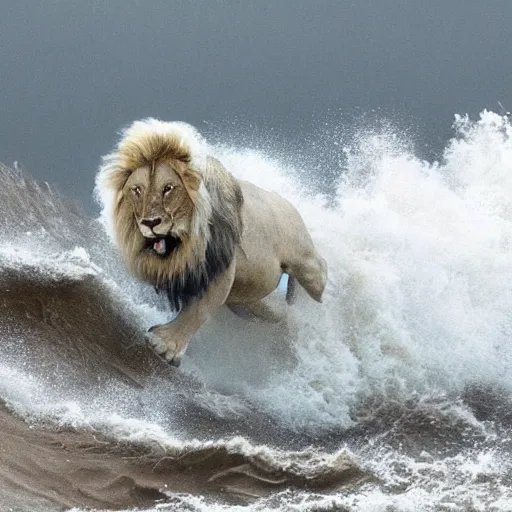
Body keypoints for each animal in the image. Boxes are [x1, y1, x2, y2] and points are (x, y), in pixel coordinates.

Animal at [96, 119, 328, 368]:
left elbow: (198, 310)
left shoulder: (219, 269)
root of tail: (284, 200)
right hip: (250, 300)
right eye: (137, 190)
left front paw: (164, 345)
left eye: (168, 188)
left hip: (303, 260)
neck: (183, 243)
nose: (150, 222)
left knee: (319, 271)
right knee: (278, 312)